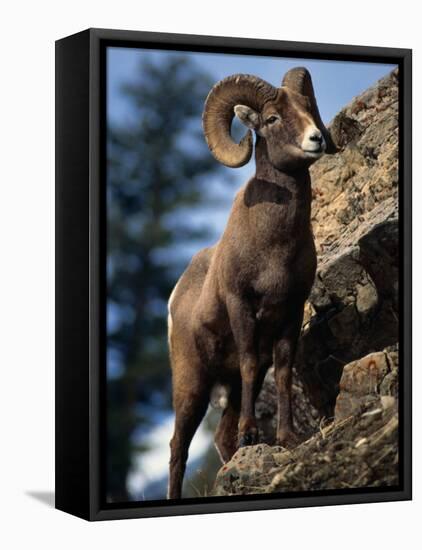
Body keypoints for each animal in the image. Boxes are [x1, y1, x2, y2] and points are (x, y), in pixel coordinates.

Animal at [166, 68, 334, 500]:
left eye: (307, 108)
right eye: (272, 118)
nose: (316, 139)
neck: (274, 246)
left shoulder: (290, 311)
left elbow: (286, 368)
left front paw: (286, 438)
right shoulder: (242, 307)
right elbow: (247, 359)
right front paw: (252, 433)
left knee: (220, 439)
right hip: (191, 385)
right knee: (177, 447)